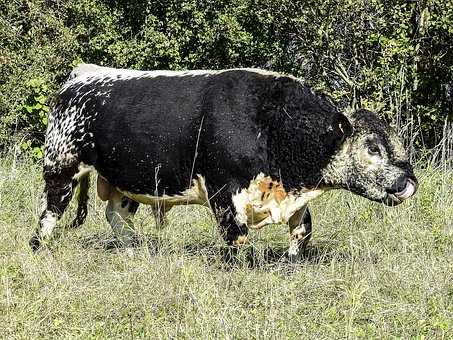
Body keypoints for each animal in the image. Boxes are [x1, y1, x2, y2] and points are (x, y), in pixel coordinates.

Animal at [29, 64, 416, 260]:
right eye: (372, 148)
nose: (409, 183)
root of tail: (81, 75)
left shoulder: (294, 194)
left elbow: (302, 230)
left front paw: (291, 263)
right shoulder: (223, 190)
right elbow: (237, 235)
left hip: (128, 180)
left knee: (118, 216)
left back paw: (135, 250)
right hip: (61, 167)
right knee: (49, 214)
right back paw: (39, 249)